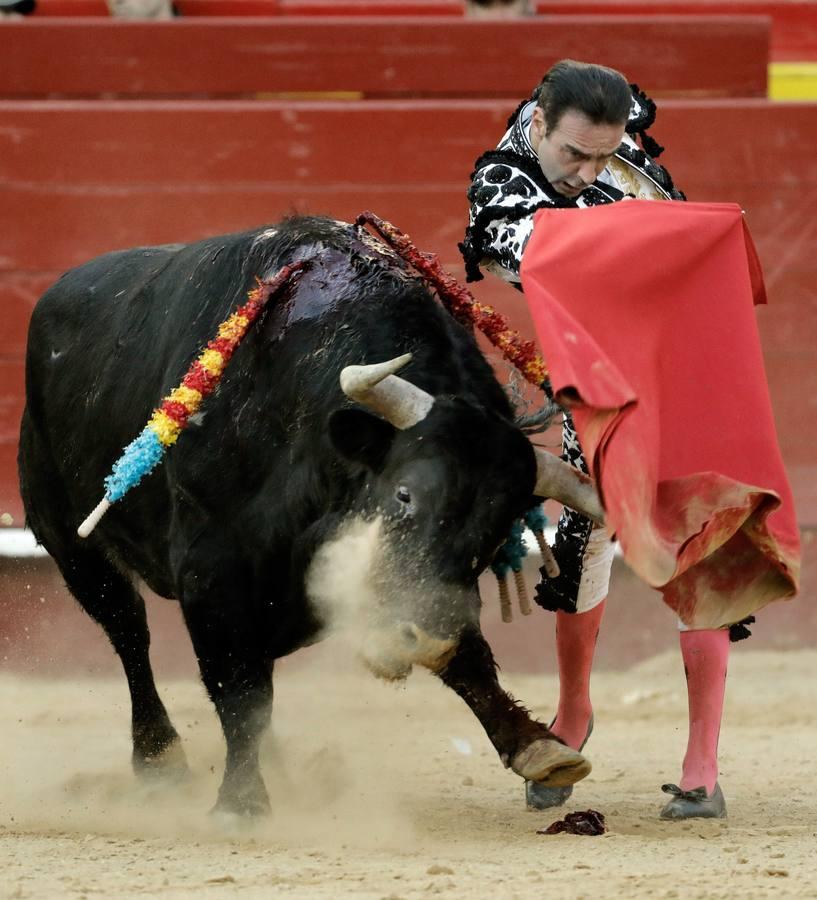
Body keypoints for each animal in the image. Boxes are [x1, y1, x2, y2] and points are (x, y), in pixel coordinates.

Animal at [17, 214, 600, 820]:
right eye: (404, 494)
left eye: (495, 532)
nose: (420, 638)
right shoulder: (211, 573)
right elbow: (237, 688)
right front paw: (241, 803)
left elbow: (467, 655)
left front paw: (537, 748)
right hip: (72, 546)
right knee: (130, 634)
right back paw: (160, 759)